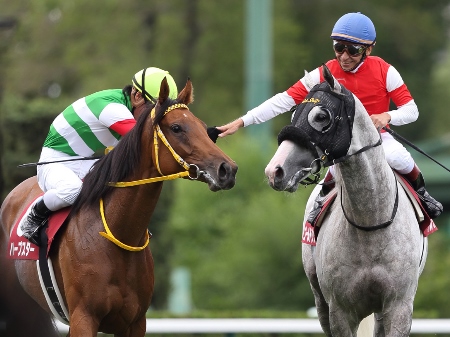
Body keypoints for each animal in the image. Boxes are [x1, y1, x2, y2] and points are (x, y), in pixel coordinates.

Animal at [0, 77, 237, 334]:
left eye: (203, 127)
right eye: (176, 128)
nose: (228, 169)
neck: (117, 232)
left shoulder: (135, 321)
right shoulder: (83, 317)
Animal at [266, 64, 428, 334]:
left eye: (322, 116)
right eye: (293, 115)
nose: (275, 171)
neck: (370, 220)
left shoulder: (399, 306)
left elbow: (411, 106)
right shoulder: (340, 311)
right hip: (320, 298)